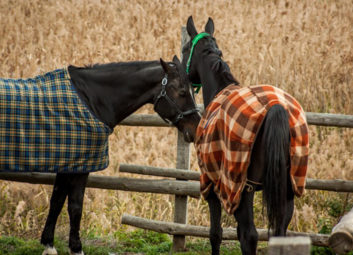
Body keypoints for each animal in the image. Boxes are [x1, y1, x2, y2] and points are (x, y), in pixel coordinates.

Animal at [0, 56, 201, 255]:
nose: (196, 129)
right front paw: (76, 248)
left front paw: (49, 245)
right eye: (182, 92)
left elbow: (56, 201)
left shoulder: (68, 164)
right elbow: (75, 206)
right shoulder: (80, 167)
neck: (91, 99)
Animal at [182, 16, 308, 255]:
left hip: (242, 187)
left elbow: (216, 233)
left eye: (185, 49)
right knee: (278, 233)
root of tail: (276, 107)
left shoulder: (211, 184)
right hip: (288, 186)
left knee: (250, 235)